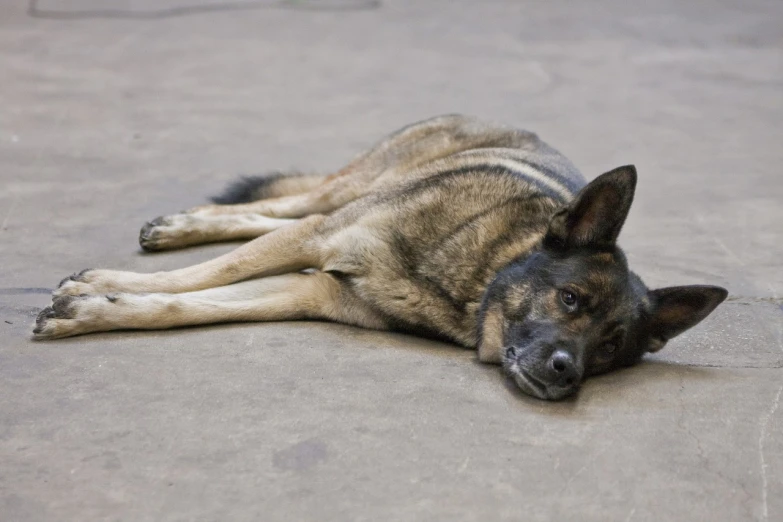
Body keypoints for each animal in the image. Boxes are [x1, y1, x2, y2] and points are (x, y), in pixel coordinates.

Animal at [32, 114, 728, 398]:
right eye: (570, 298)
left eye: (611, 349)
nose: (567, 373)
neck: (477, 275)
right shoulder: (321, 243)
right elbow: (210, 274)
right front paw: (99, 285)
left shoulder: (310, 290)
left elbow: (192, 304)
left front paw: (96, 307)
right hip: (349, 191)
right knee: (294, 202)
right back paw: (183, 225)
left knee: (281, 210)